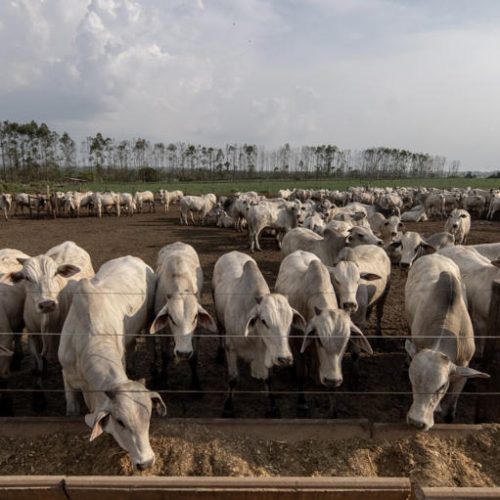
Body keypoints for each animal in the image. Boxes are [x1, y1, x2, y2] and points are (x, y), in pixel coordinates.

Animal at [58, 256, 164, 470]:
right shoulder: (66, 372)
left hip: (148, 320)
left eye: (148, 416)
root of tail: (133, 258)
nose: (146, 463)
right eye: (120, 422)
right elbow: (71, 404)